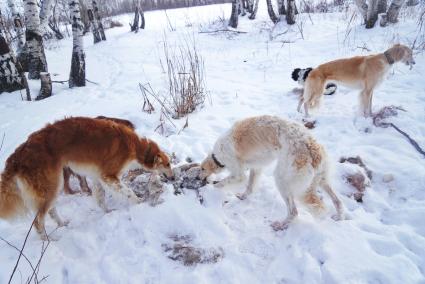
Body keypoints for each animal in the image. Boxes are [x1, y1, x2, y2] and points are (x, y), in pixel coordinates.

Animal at [0, 116, 173, 239]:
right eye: (168, 164)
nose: (172, 178)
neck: (135, 147)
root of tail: (17, 156)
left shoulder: (98, 177)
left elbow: (100, 198)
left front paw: (108, 212)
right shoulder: (109, 176)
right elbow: (129, 192)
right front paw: (139, 202)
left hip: (52, 186)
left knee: (50, 212)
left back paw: (62, 224)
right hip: (51, 184)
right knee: (38, 221)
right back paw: (48, 240)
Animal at [200, 115, 342, 231]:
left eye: (201, 169)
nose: (199, 177)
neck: (217, 156)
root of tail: (315, 151)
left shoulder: (238, 173)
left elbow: (222, 183)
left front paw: (211, 188)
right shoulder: (256, 167)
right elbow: (250, 187)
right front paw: (243, 196)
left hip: (282, 181)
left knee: (294, 212)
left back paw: (281, 225)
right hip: (322, 179)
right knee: (338, 201)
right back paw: (339, 217)